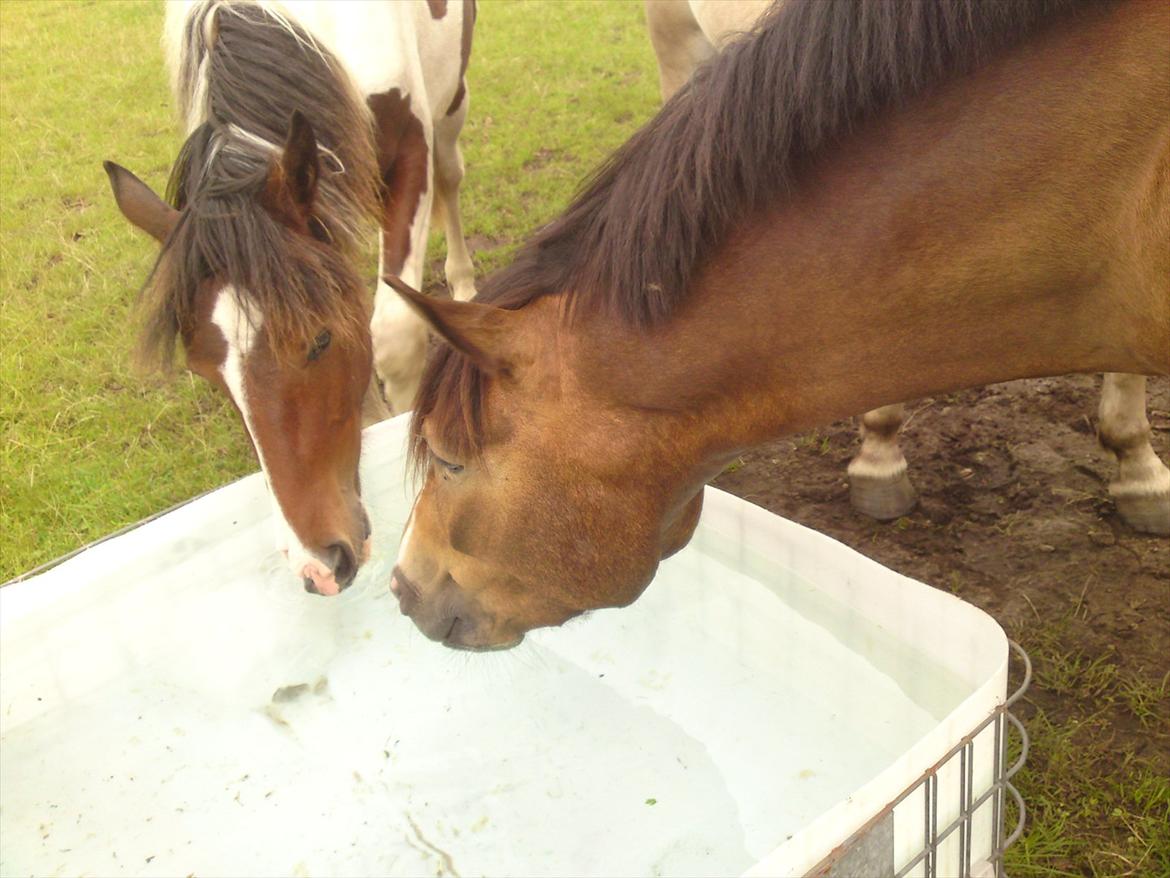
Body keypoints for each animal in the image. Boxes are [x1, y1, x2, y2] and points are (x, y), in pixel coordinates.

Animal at [105, 0, 477, 599]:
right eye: (205, 372)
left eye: (318, 341)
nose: (319, 564)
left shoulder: (408, 153)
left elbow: (394, 336)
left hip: (450, 100)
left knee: (450, 173)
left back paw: (463, 277)